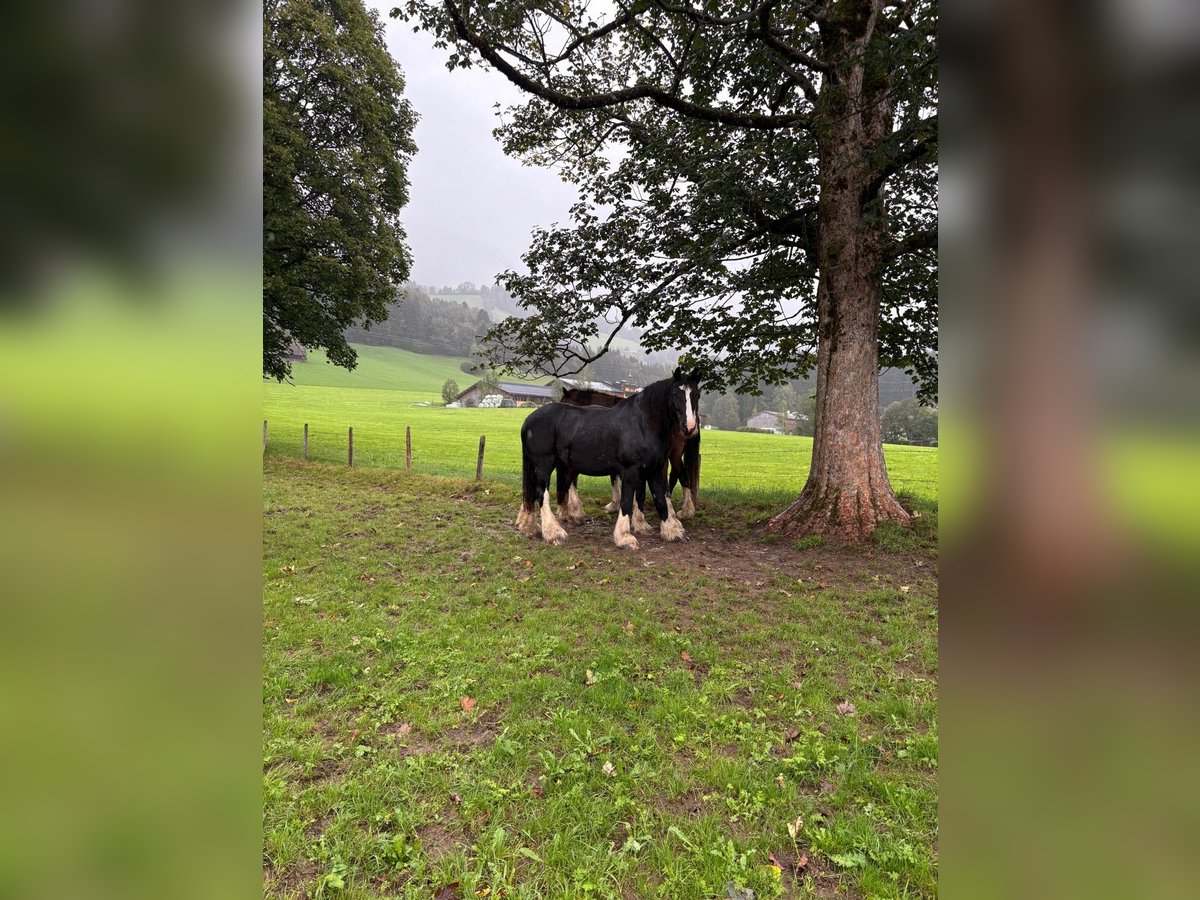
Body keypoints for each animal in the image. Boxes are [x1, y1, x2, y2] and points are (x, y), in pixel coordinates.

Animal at [559, 386, 700, 520]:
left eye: (564, 402)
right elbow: (614, 478)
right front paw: (617, 505)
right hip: (674, 454)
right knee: (681, 476)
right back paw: (685, 511)